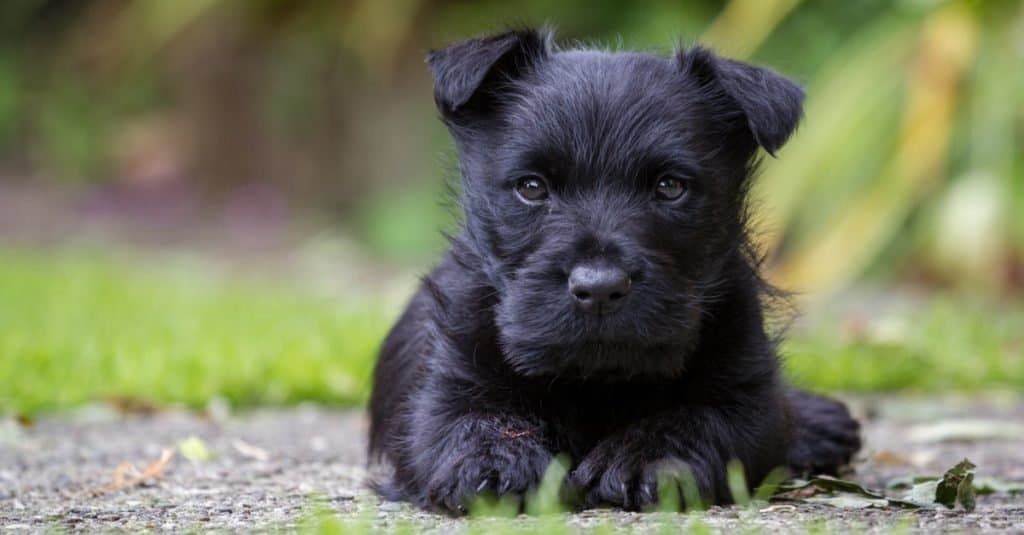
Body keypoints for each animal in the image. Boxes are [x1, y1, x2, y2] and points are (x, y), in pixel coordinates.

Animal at [366, 28, 856, 512]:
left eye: (670, 186)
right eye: (531, 186)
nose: (599, 289)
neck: (596, 379)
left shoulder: (747, 398)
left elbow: (698, 418)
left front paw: (647, 459)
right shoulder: (443, 392)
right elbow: (470, 421)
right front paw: (496, 462)